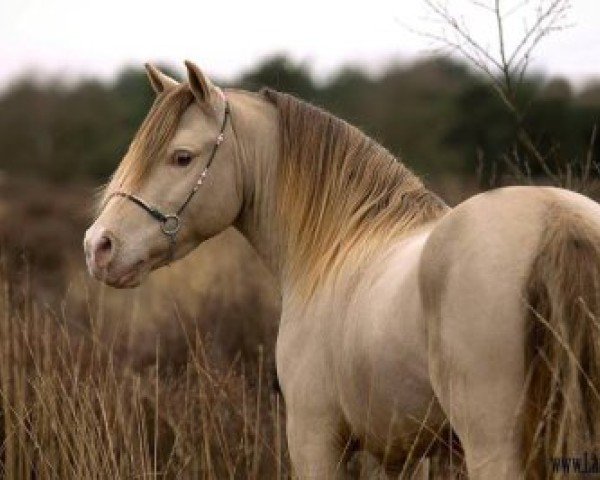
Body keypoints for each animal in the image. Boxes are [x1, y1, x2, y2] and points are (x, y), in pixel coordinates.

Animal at [83, 62, 600, 478]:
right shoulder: (403, 453)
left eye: (182, 157)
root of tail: (557, 218)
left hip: (492, 444)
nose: (99, 246)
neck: (337, 246)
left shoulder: (315, 438)